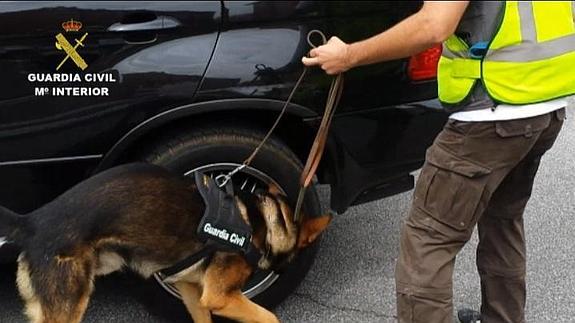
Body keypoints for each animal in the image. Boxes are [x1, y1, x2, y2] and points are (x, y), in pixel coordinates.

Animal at [0, 165, 332, 323]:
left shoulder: (191, 290)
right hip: (69, 305)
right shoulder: (220, 297)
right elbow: (270, 316)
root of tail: (32, 222)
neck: (263, 221)